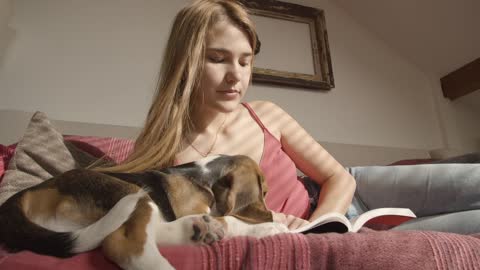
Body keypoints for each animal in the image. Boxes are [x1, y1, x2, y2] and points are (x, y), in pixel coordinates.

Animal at [0, 155, 288, 268]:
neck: (204, 176)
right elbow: (232, 219)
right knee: (123, 243)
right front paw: (273, 226)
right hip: (132, 192)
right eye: (265, 191)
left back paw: (199, 229)